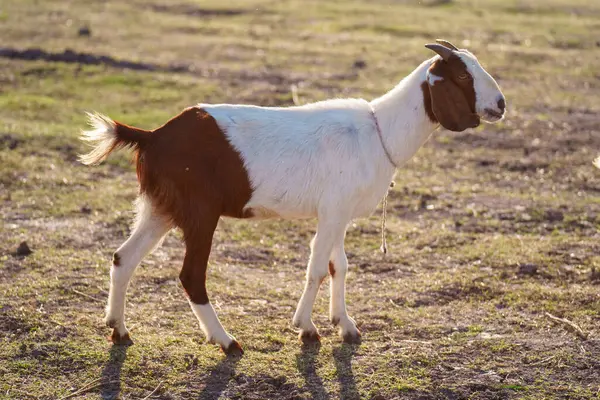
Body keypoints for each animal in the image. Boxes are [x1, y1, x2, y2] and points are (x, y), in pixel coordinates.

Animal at [78, 39, 502, 354]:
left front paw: (345, 326)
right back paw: (226, 341)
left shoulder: (338, 213)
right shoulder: (332, 212)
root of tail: (151, 136)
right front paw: (306, 328)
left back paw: (118, 329)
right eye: (462, 74)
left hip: (160, 208)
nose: (500, 105)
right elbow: (316, 268)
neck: (380, 130)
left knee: (123, 258)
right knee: (190, 275)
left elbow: (339, 266)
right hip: (200, 212)